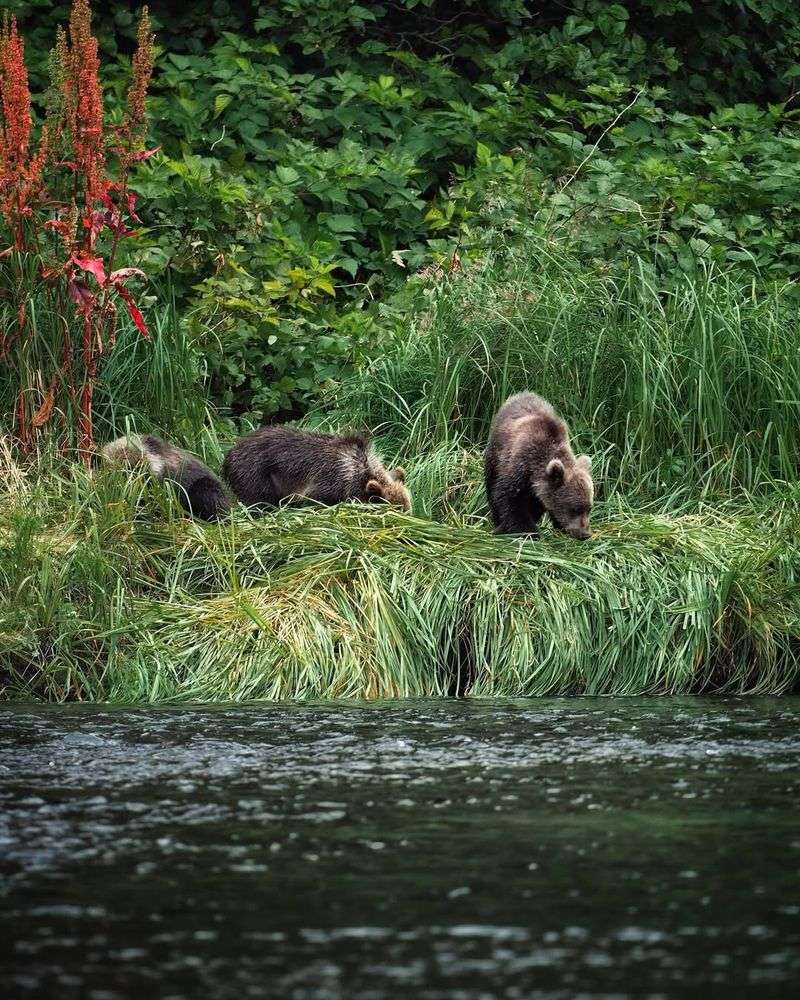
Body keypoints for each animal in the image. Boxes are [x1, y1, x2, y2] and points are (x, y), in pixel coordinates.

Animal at [484, 394, 592, 544]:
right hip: (495, 453)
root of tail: (521, 394)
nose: (585, 534)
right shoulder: (519, 467)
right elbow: (509, 499)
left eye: (589, 508)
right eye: (575, 509)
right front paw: (530, 532)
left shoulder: (540, 490)